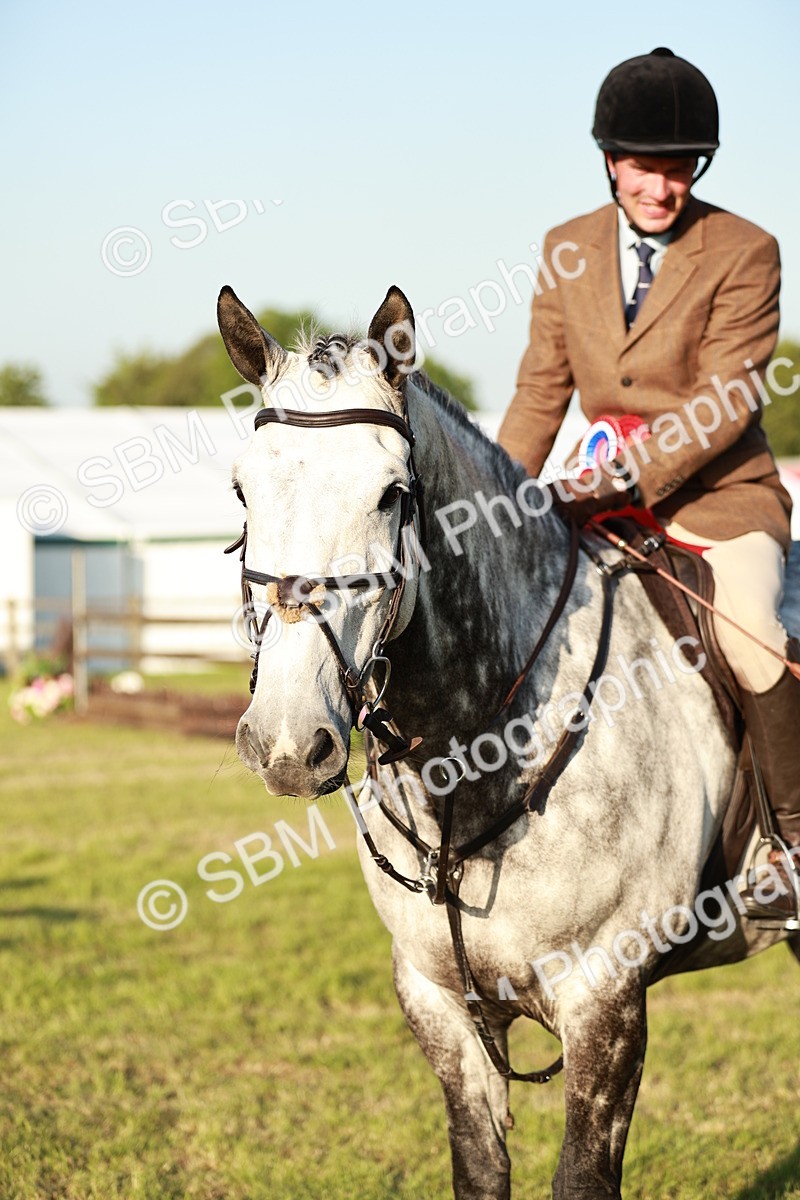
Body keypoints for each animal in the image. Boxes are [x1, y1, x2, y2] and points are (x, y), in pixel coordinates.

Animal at [218, 282, 796, 1199]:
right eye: (243, 492)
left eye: (391, 494)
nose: (286, 744)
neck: (468, 762)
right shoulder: (438, 1002)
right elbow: (480, 1168)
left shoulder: (606, 1003)